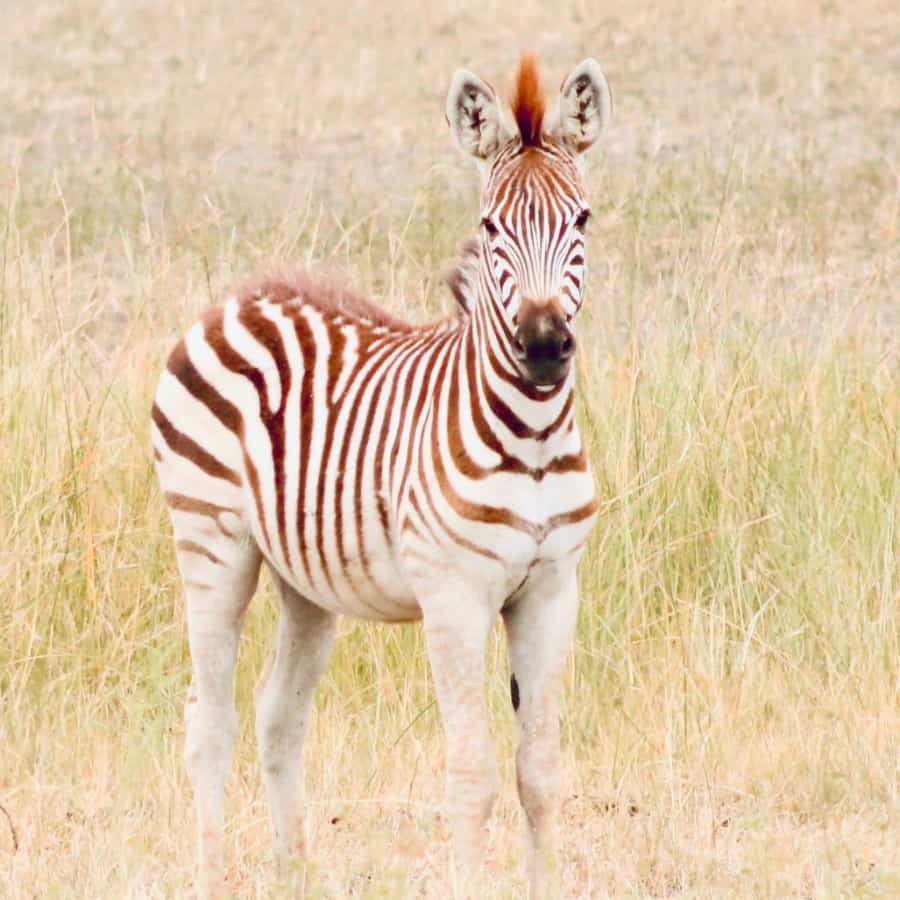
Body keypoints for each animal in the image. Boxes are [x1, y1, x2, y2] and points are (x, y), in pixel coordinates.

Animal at [151, 53, 611, 898]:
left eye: (583, 221)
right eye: (491, 228)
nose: (541, 347)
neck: (530, 436)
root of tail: (240, 297)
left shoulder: (553, 590)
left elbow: (539, 770)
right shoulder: (454, 596)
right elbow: (472, 774)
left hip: (303, 579)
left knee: (278, 714)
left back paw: (294, 874)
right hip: (211, 543)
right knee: (209, 719)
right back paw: (212, 876)